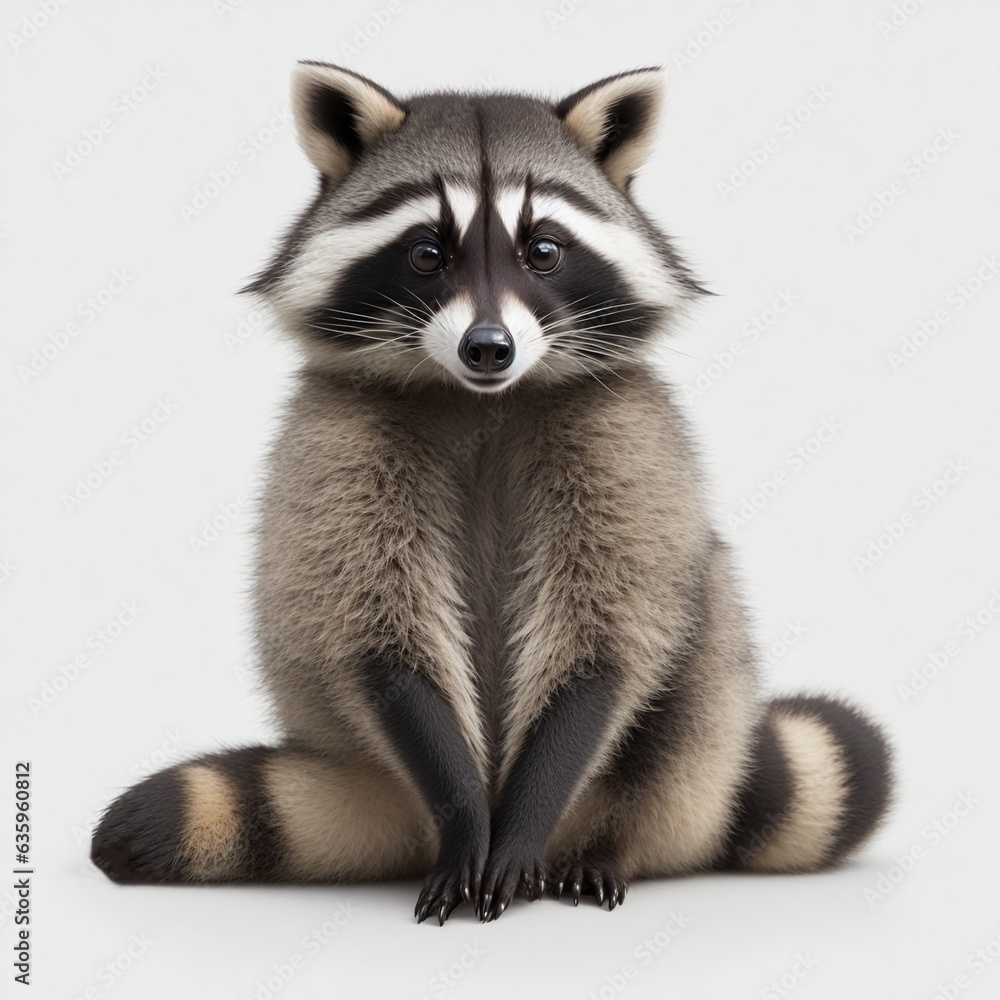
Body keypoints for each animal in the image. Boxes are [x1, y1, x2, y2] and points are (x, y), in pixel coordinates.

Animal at [91, 63, 893, 924]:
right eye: (426, 253)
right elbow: (372, 629)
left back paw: (606, 843)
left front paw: (523, 817)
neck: (482, 398)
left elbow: (607, 635)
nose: (488, 347)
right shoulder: (338, 439)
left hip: (697, 723)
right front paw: (467, 819)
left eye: (542, 251)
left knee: (693, 663)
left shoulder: (623, 434)